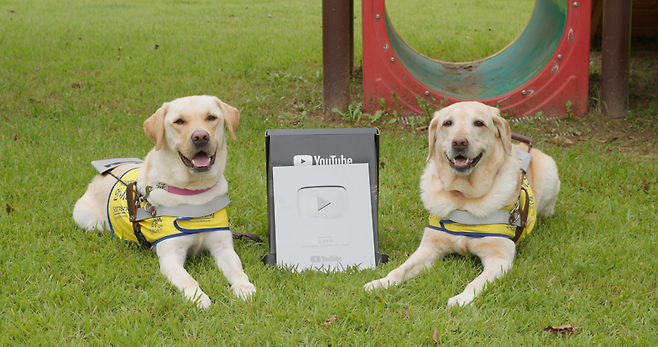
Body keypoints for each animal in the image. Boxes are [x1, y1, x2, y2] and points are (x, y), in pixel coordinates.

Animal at [73, 95, 255, 310]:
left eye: (211, 117)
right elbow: (188, 279)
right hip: (88, 219)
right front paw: (198, 297)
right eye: (179, 121)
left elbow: (237, 269)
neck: (194, 193)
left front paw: (244, 287)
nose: (201, 136)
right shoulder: (170, 256)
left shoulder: (223, 246)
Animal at [364, 102, 560, 308]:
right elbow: (400, 269)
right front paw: (381, 283)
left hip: (550, 173)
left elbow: (477, 282)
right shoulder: (428, 248)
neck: (463, 197)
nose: (459, 142)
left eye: (479, 123)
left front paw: (461, 299)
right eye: (447, 123)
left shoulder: (499, 259)